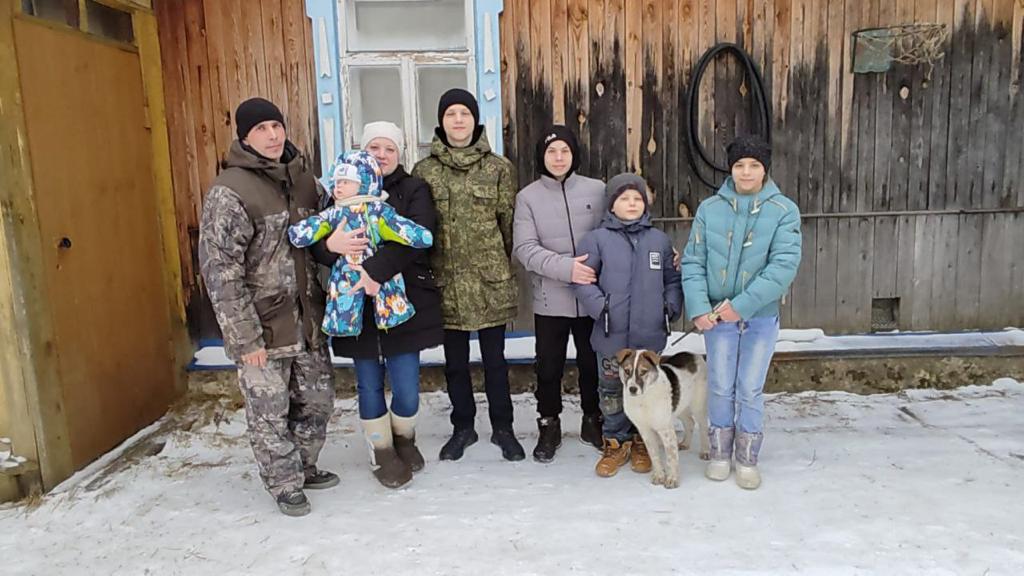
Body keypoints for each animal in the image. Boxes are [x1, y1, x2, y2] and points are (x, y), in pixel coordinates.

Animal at [610, 348, 708, 485]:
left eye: (643, 371)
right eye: (627, 371)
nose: (632, 389)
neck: (644, 398)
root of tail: (694, 354)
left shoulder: (665, 428)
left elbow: (671, 457)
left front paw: (672, 479)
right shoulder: (645, 431)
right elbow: (654, 456)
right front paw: (659, 476)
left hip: (698, 406)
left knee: (703, 427)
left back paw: (705, 451)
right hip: (680, 405)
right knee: (690, 422)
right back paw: (685, 444)